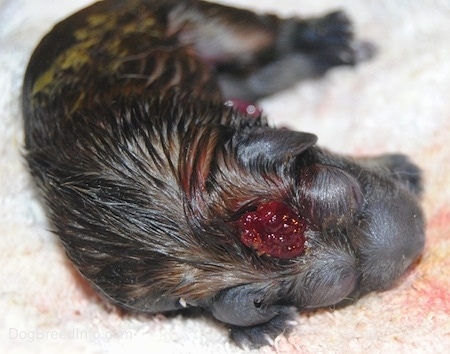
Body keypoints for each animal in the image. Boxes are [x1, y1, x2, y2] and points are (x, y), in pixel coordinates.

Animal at [22, 0, 424, 348]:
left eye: (349, 191)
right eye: (343, 286)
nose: (417, 237)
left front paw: (399, 167)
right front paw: (257, 328)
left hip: (197, 21)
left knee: (259, 33)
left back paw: (328, 35)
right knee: (258, 78)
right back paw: (330, 53)